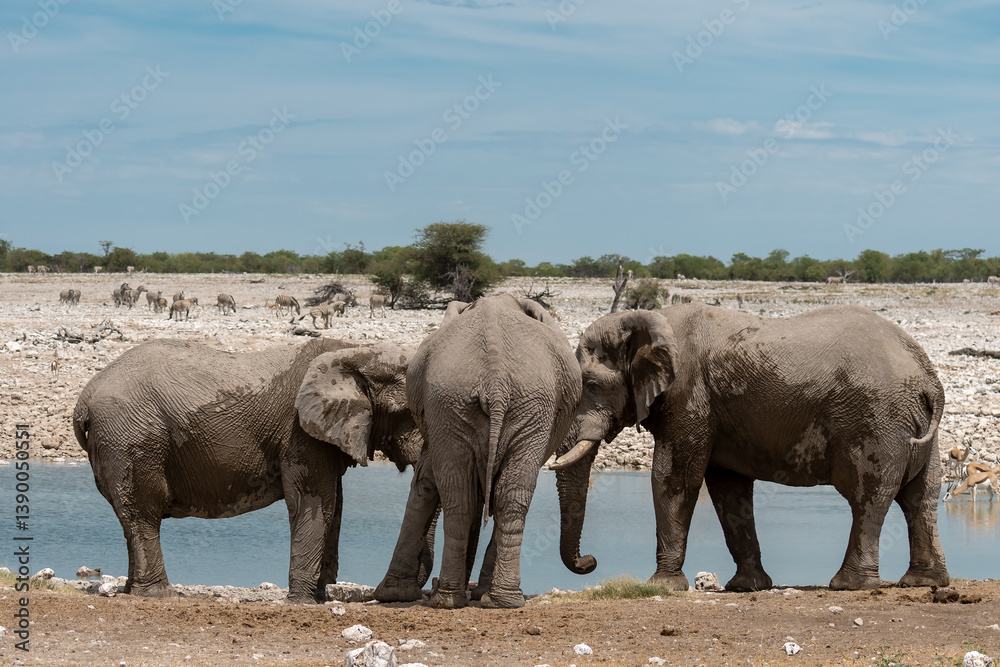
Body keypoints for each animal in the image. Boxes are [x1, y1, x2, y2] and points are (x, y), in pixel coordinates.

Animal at [72, 337, 422, 602]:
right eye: (408, 412)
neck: (355, 352)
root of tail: (84, 399)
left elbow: (334, 506)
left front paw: (321, 597)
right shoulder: (300, 434)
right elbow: (312, 502)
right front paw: (304, 602)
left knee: (132, 517)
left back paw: (133, 590)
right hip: (132, 439)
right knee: (144, 512)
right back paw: (158, 595)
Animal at [375, 294, 581, 608]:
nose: (590, 562)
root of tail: (495, 380)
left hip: (498, 405)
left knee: (477, 496)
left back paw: (466, 599)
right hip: (463, 402)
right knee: (489, 496)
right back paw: (478, 599)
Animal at [551, 303, 948, 592]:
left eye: (590, 385)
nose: (590, 562)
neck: (649, 319)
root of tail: (928, 377)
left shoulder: (689, 398)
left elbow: (674, 479)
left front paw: (661, 586)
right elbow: (729, 489)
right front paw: (748, 586)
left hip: (876, 419)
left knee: (868, 495)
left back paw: (849, 585)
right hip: (913, 425)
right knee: (921, 495)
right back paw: (922, 582)